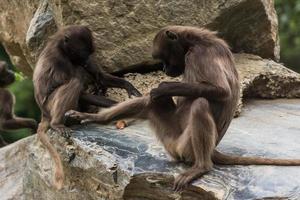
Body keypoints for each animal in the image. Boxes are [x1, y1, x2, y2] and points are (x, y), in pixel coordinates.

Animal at [32, 25, 141, 189]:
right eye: (81, 52)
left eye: (88, 53)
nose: (85, 59)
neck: (62, 47)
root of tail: (44, 114)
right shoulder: (60, 59)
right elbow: (81, 90)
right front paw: (118, 105)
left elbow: (101, 77)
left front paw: (129, 87)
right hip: (50, 105)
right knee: (75, 81)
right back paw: (57, 123)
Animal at [66, 25, 300, 190]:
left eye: (163, 58)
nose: (164, 69)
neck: (196, 42)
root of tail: (212, 149)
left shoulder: (199, 55)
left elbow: (221, 91)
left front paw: (165, 87)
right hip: (169, 137)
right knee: (151, 103)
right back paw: (93, 118)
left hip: (184, 146)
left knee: (198, 104)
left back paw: (201, 167)